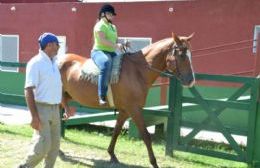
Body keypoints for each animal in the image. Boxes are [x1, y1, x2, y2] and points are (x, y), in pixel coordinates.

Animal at [58, 33, 193, 168]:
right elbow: (146, 136)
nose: (191, 80)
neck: (137, 71)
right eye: (182, 55)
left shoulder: (125, 110)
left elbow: (116, 131)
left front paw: (112, 155)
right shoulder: (134, 109)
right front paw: (154, 163)